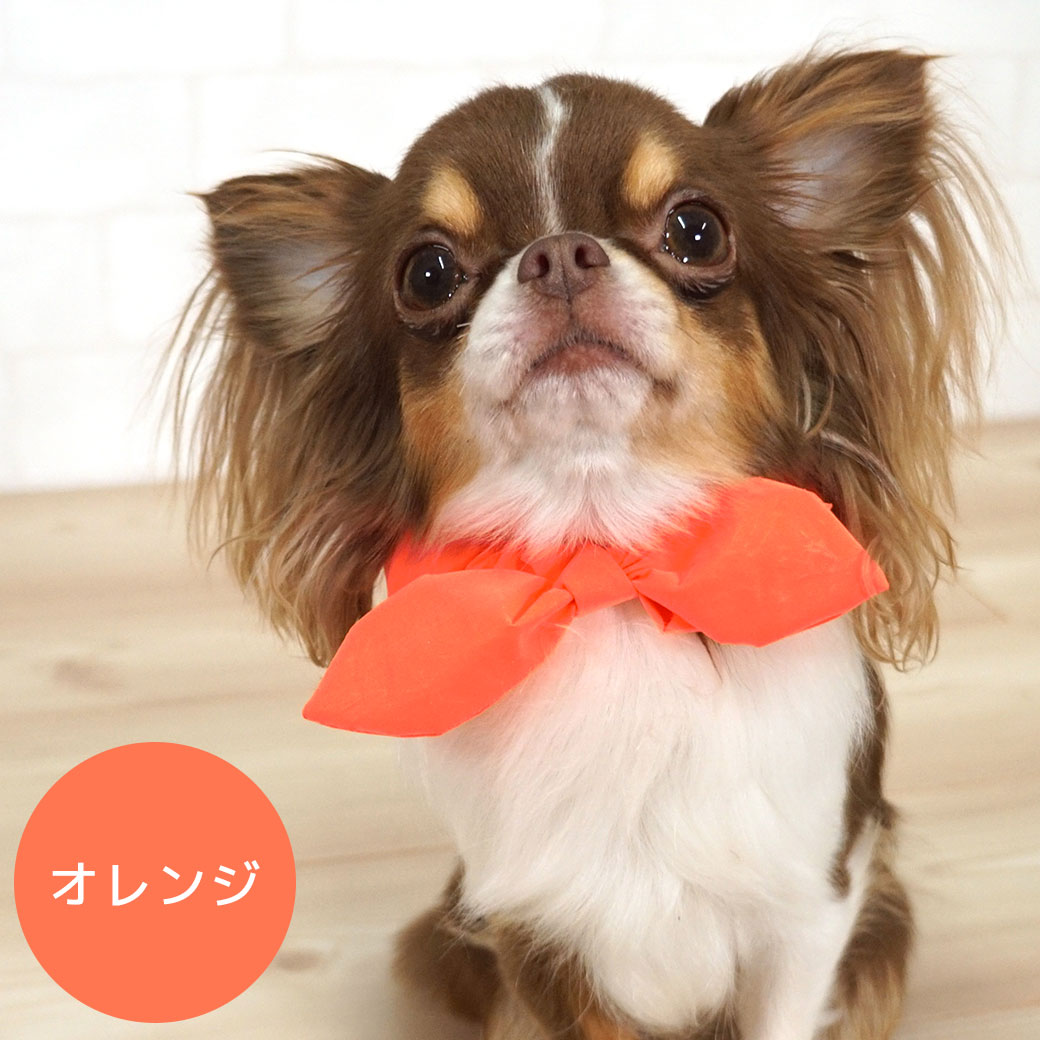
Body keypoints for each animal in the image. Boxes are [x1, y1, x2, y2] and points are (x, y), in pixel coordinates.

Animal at [173, 47, 1007, 1039]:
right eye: (427, 274)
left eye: (696, 230)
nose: (560, 252)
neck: (604, 558)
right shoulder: (539, 935)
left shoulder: (810, 914)